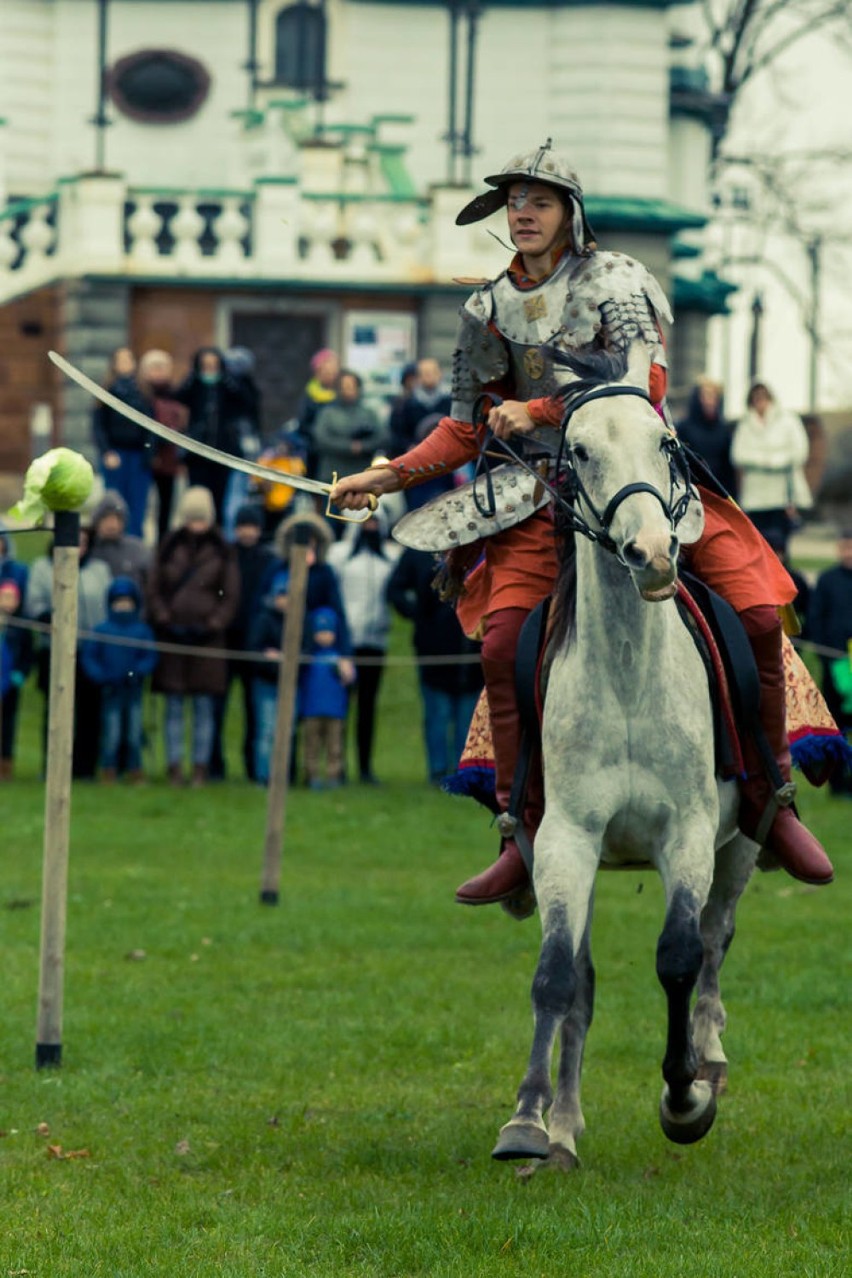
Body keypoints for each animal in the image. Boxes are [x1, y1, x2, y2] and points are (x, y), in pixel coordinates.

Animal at [493, 347, 761, 1170]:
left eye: (665, 443)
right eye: (579, 451)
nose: (651, 554)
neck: (628, 679)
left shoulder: (690, 835)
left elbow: (678, 955)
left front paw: (684, 1100)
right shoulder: (563, 840)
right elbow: (559, 977)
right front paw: (529, 1122)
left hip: (744, 842)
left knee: (715, 942)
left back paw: (709, 1060)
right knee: (583, 977)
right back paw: (564, 1127)